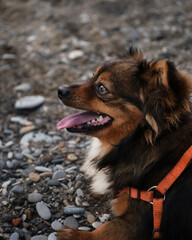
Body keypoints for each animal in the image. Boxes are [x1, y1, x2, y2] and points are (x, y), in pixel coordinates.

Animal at [56, 47, 191, 239]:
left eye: (102, 88)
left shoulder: (138, 223)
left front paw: (73, 235)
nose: (60, 90)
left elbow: (103, 230)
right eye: (92, 76)